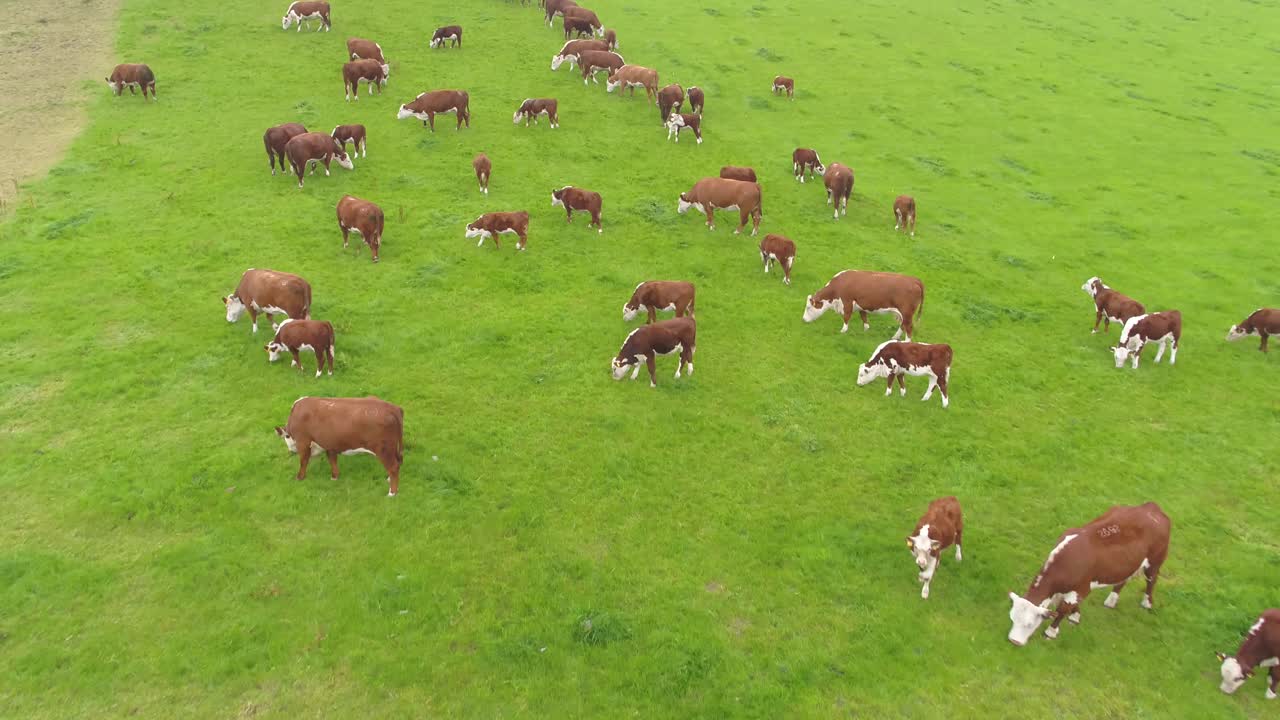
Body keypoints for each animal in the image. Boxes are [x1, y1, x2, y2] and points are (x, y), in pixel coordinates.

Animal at [274, 396, 404, 497]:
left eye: (287, 437)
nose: (291, 451)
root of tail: (392, 408)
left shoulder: (303, 442)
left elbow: (303, 461)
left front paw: (299, 478)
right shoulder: (329, 443)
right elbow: (332, 460)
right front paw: (334, 477)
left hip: (383, 449)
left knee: (393, 467)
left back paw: (392, 493)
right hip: (393, 448)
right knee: (398, 462)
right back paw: (388, 479)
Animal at [1006, 503, 1171, 646]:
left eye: (1029, 624)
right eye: (1012, 619)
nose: (1014, 641)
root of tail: (1151, 507)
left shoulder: (1082, 588)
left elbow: (1062, 610)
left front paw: (1051, 632)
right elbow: (1070, 606)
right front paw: (1075, 616)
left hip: (1154, 562)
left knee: (1151, 581)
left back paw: (1147, 603)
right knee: (1123, 580)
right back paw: (1111, 601)